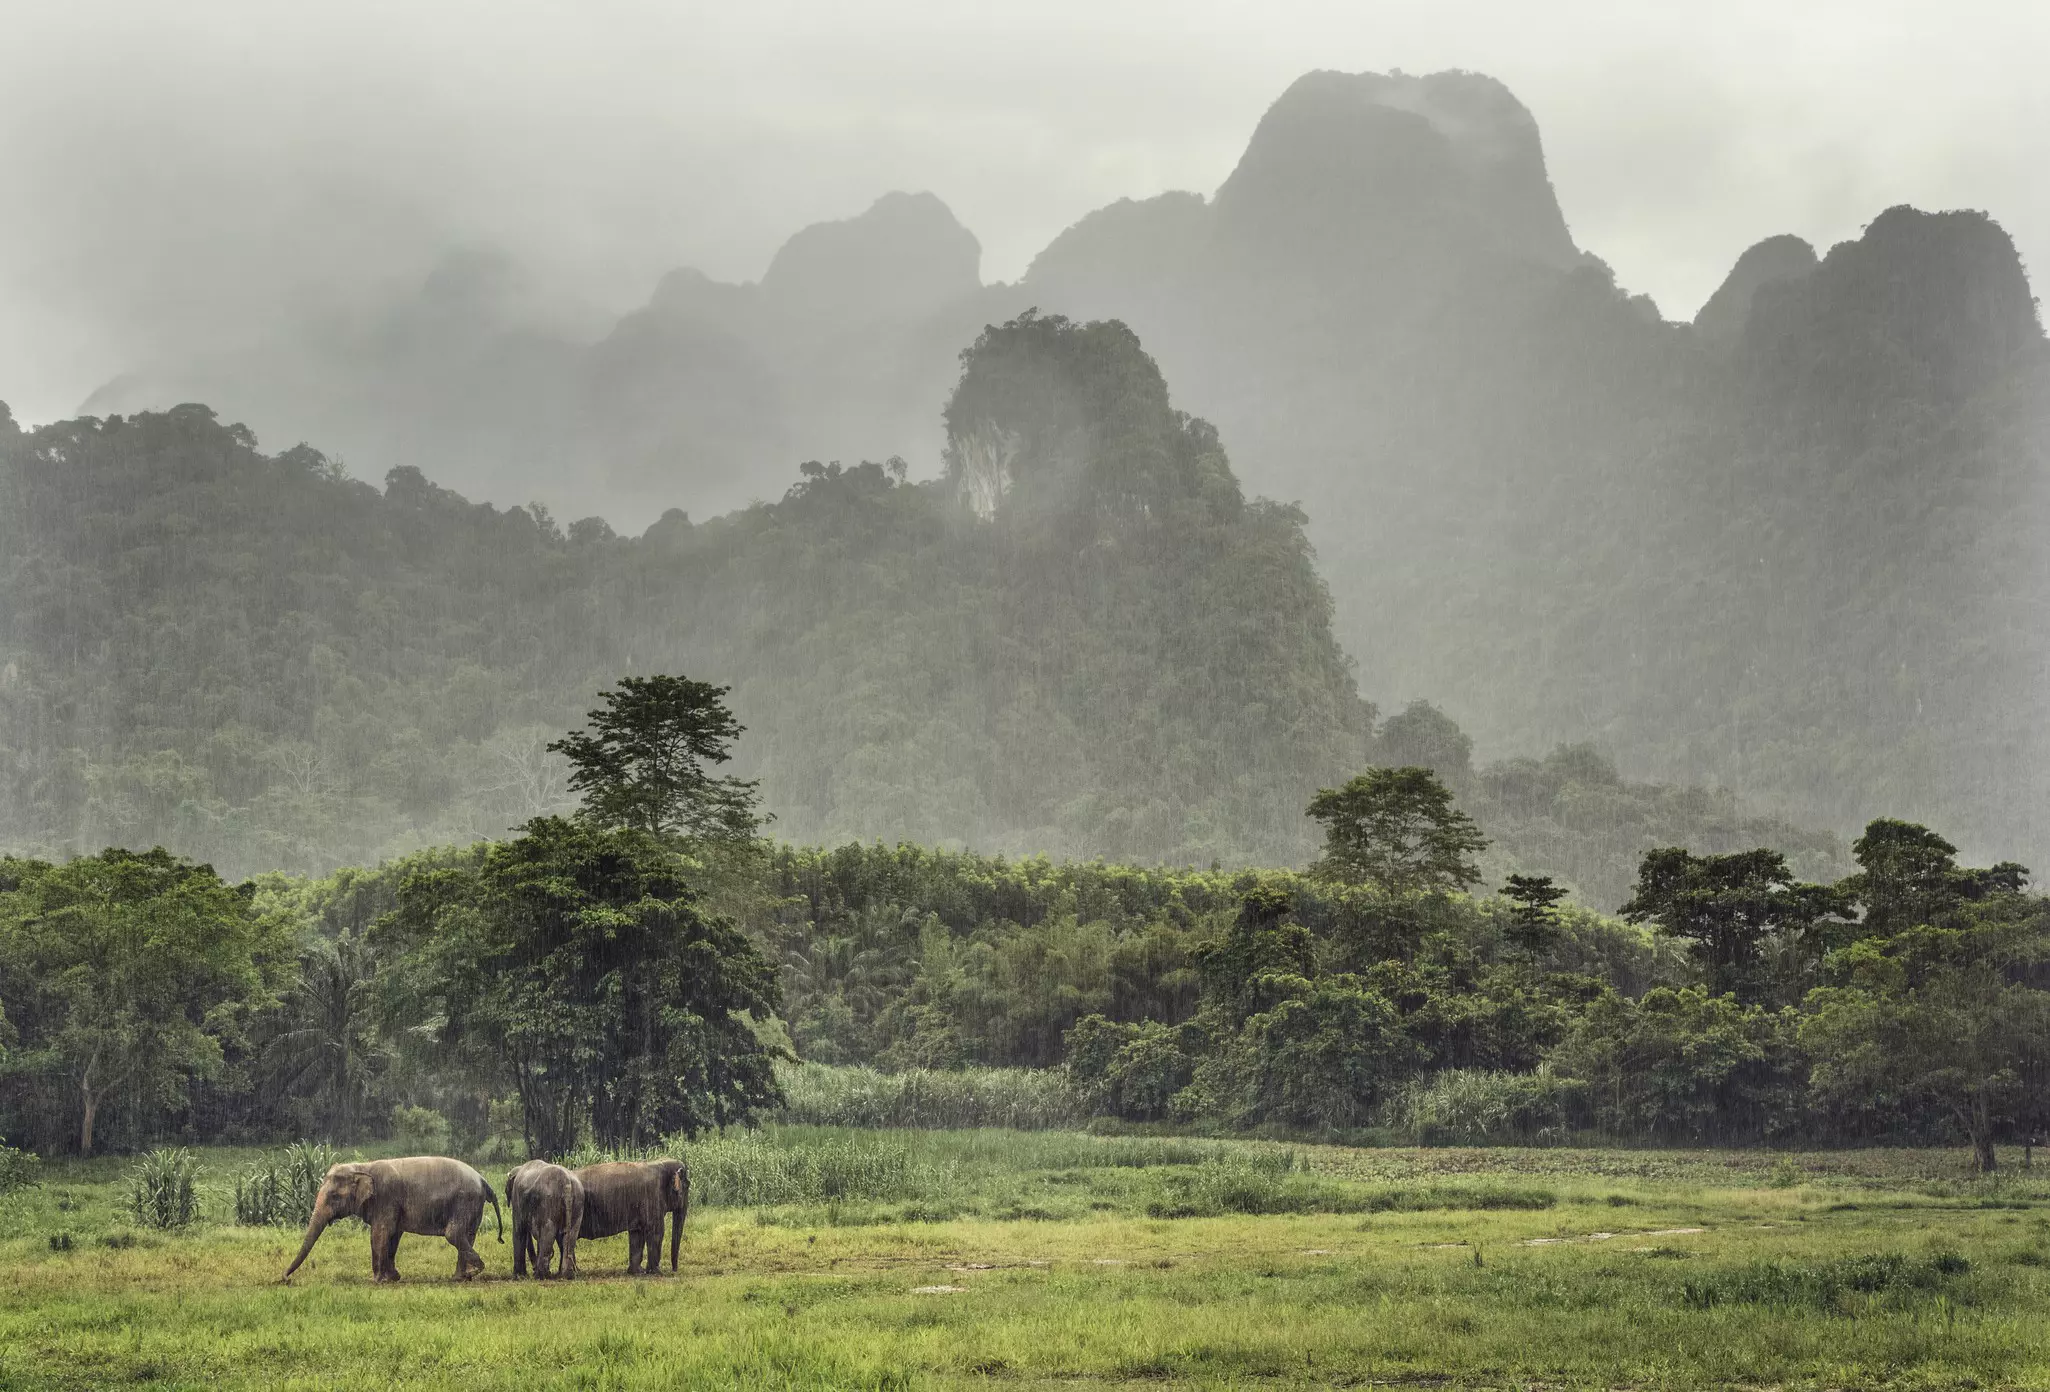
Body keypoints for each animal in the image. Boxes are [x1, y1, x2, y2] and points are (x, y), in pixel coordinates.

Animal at [281, 1156, 503, 1283]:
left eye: (334, 1197)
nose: (283, 1278)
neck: (362, 1167)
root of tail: (483, 1180)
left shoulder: (385, 1197)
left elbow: (380, 1233)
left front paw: (378, 1281)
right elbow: (393, 1235)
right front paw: (394, 1278)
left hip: (465, 1201)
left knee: (453, 1233)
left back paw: (475, 1271)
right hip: (472, 1205)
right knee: (467, 1234)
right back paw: (460, 1277)